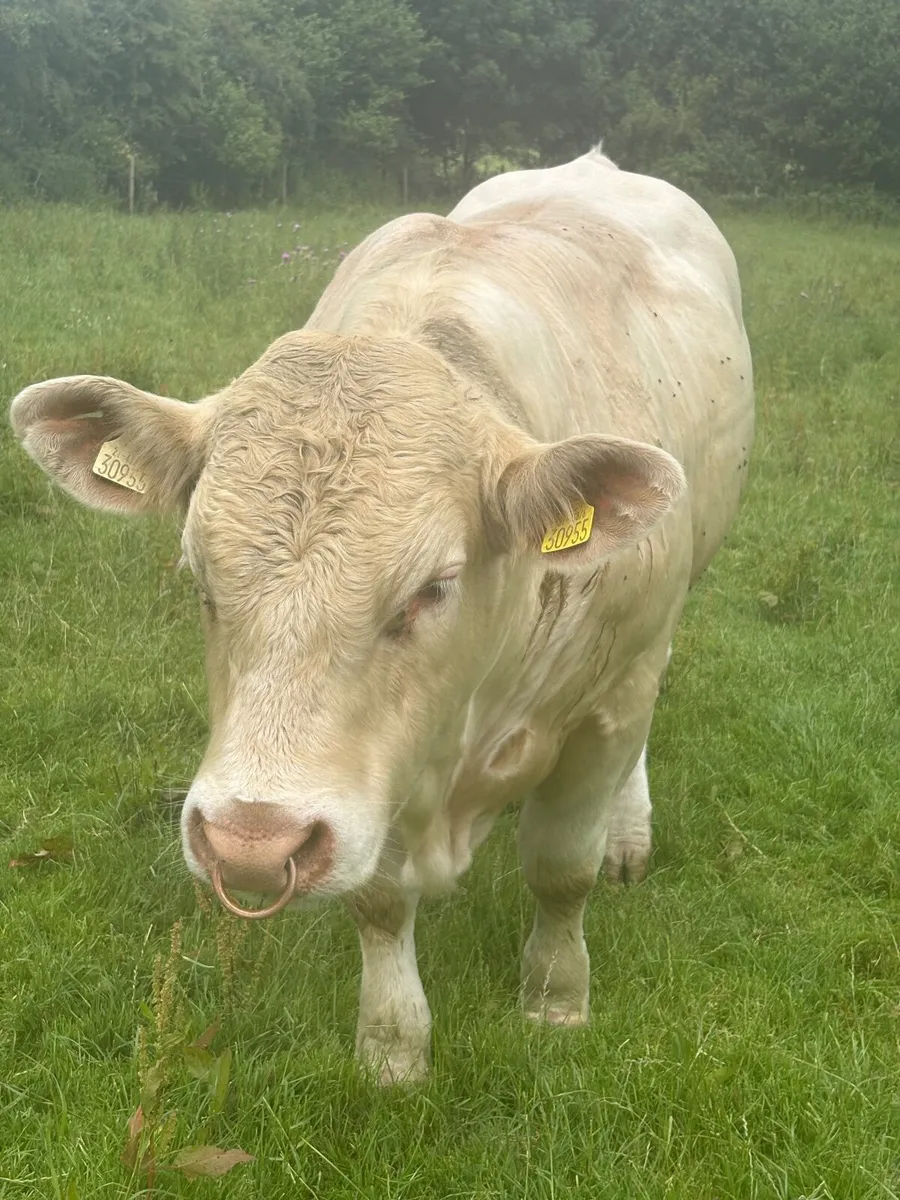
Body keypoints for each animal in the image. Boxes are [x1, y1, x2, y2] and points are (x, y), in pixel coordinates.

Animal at [9, 146, 754, 1084]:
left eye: (433, 587)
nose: (251, 842)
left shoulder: (607, 698)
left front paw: (555, 999)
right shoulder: (370, 773)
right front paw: (393, 1049)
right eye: (199, 575)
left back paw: (629, 835)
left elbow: (561, 869)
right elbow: (379, 902)